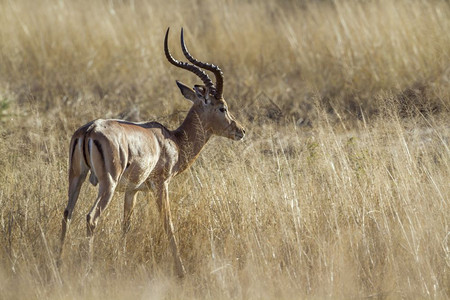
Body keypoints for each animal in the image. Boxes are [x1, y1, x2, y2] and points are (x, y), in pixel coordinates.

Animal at [57, 28, 246, 276]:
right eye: (222, 107)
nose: (240, 130)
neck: (172, 141)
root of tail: (89, 130)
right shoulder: (161, 184)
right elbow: (168, 224)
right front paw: (181, 271)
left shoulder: (132, 191)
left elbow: (126, 226)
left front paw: (121, 261)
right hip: (107, 185)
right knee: (91, 217)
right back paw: (87, 268)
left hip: (76, 177)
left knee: (67, 214)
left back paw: (57, 263)